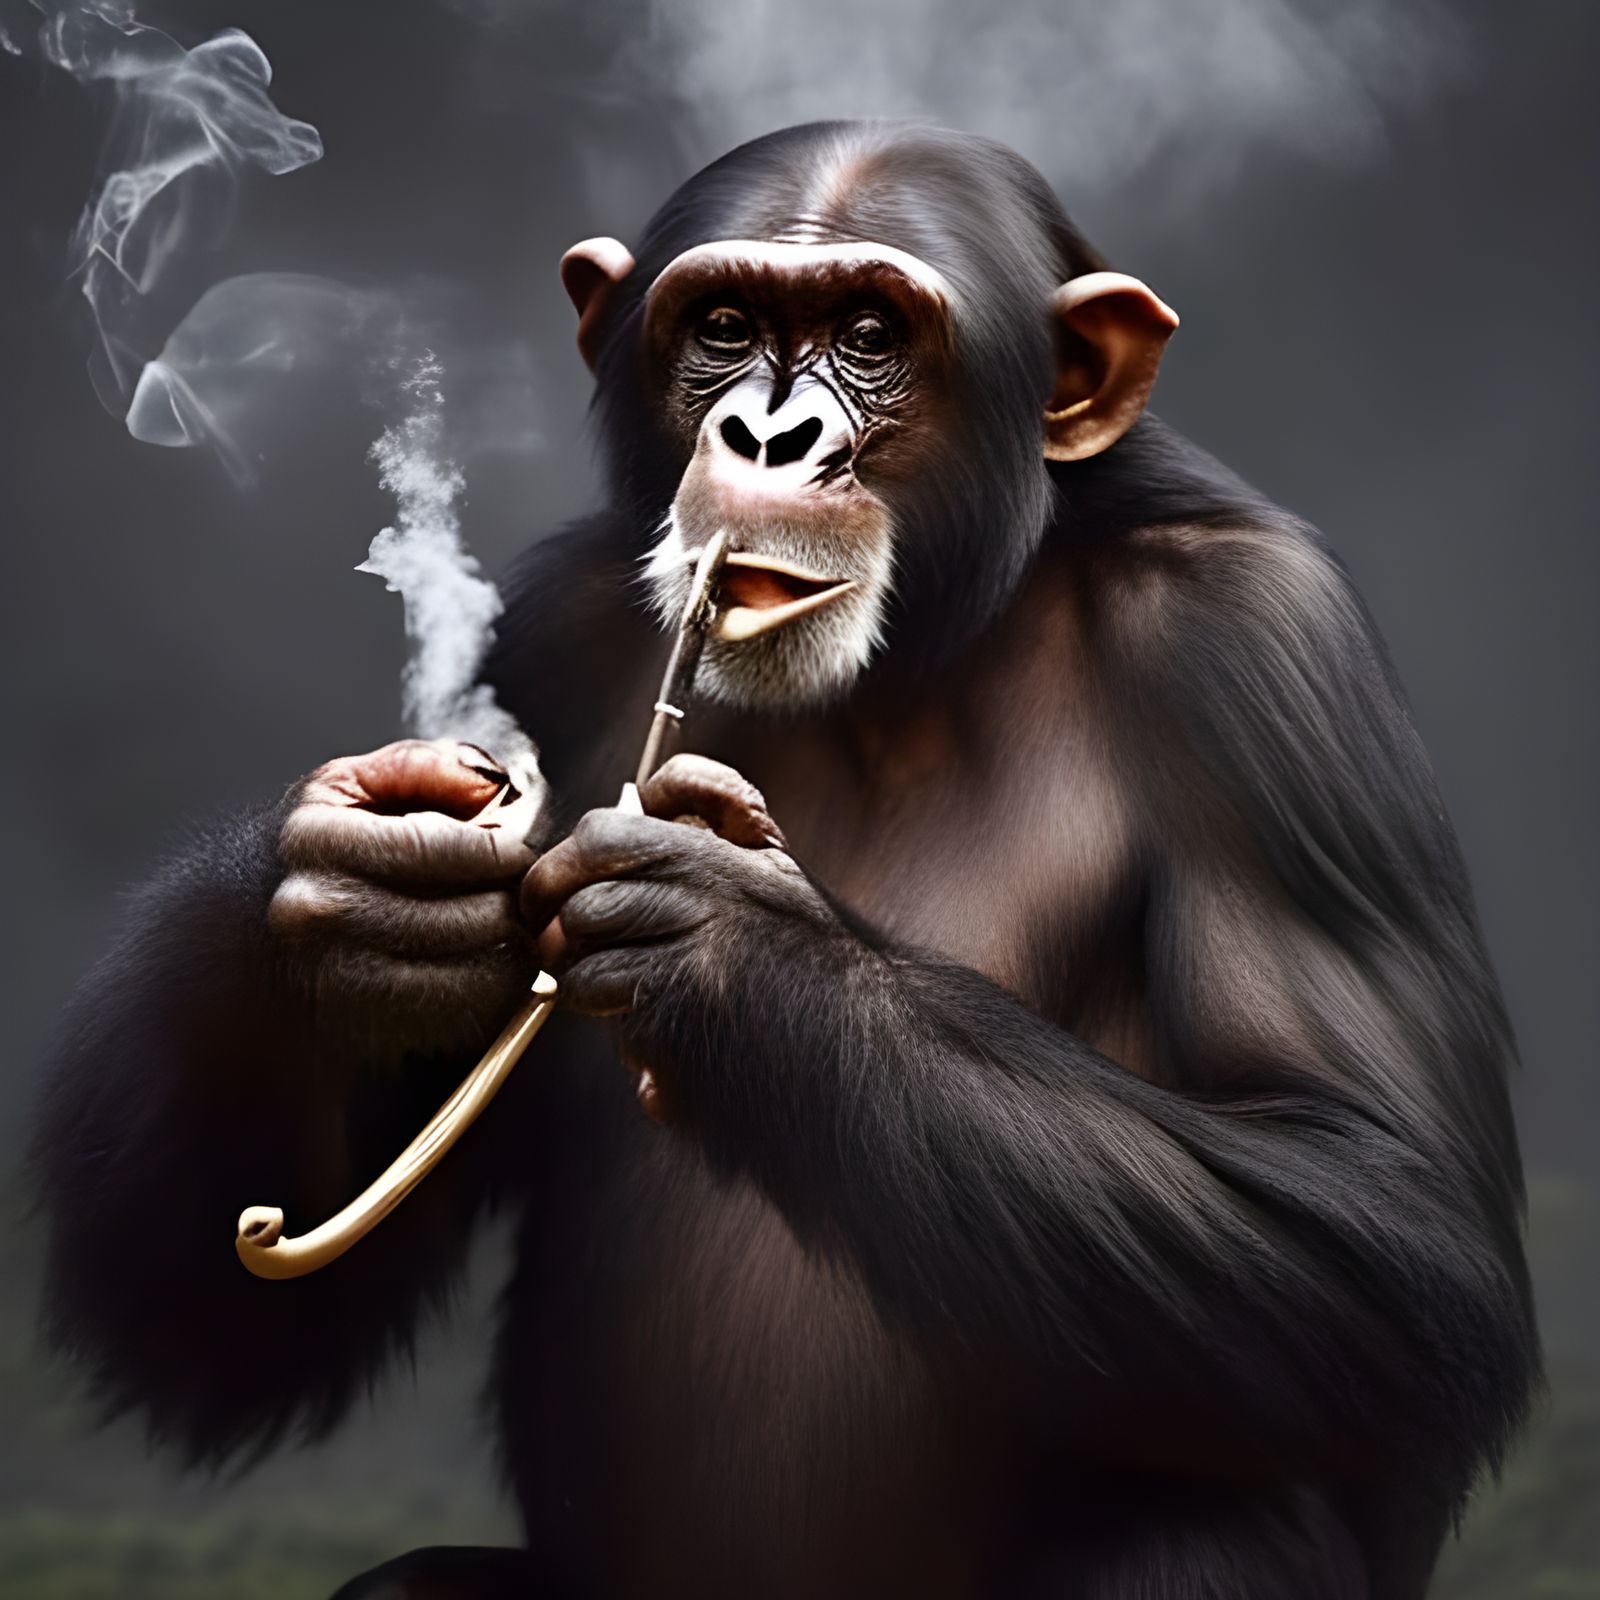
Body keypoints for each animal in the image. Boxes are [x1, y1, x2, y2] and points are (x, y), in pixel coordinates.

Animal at [33, 122, 1537, 1599]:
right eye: (726, 325)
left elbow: (1388, 1215)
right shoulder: (549, 625)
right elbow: (233, 1341)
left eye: (870, 334)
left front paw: (732, 943)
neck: (907, 666)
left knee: (1202, 1523)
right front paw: (350, 903)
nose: (766, 432)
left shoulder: (1265, 665)